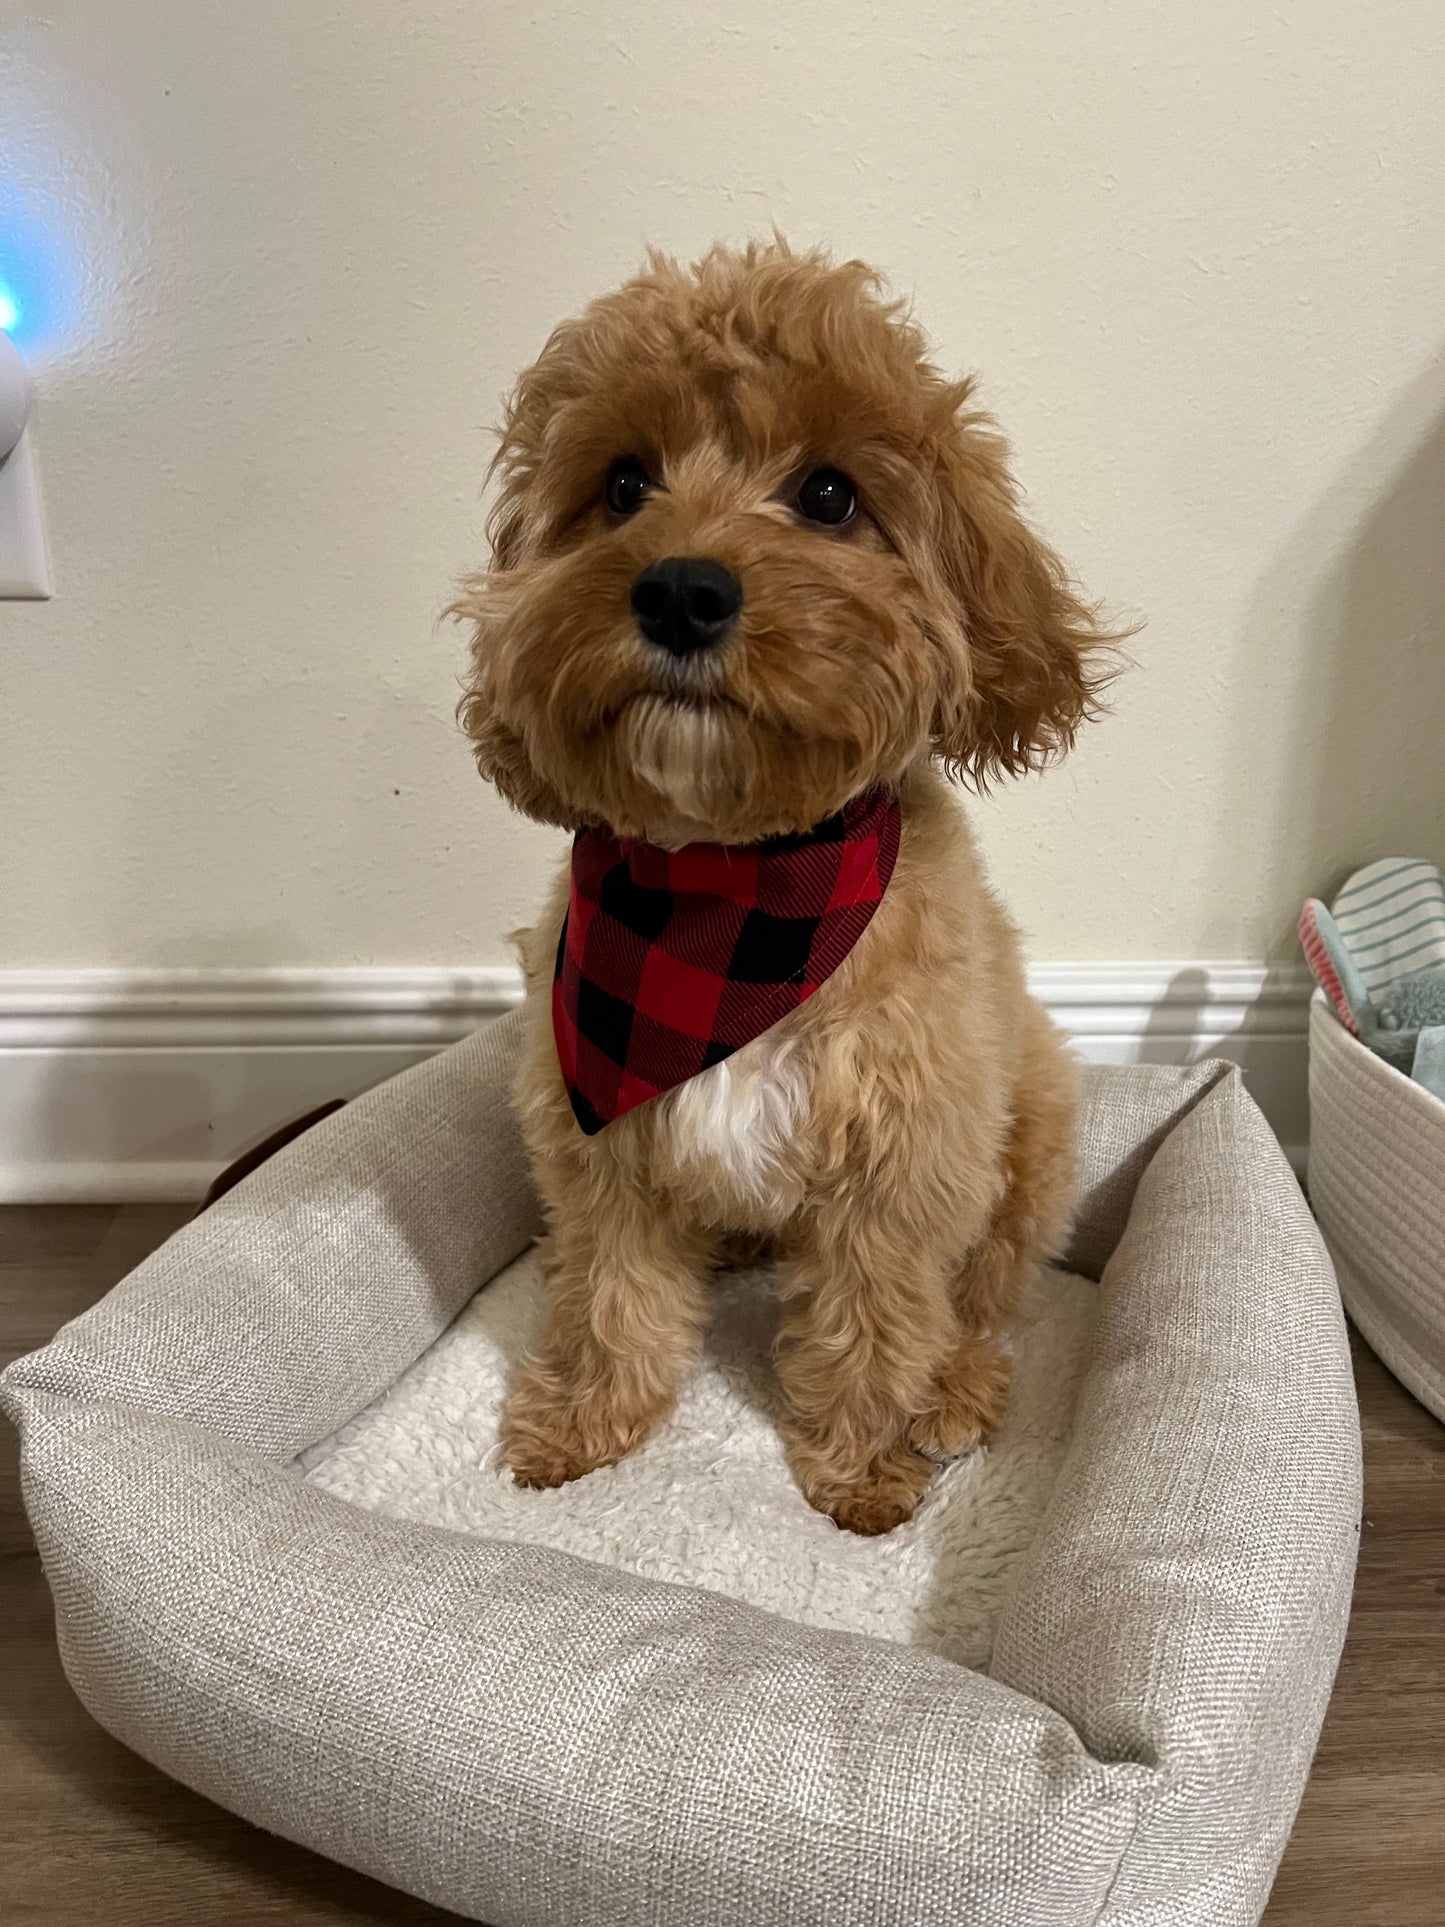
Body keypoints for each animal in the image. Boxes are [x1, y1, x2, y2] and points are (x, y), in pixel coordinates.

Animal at [452, 237, 1117, 1533]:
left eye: (826, 496)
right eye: (622, 484)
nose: (679, 590)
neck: (731, 890)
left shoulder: (902, 1168)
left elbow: (876, 1322)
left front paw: (861, 1470)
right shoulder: (599, 1146)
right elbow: (608, 1292)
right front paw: (582, 1425)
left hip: (1032, 1133)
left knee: (982, 1302)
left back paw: (954, 1390)